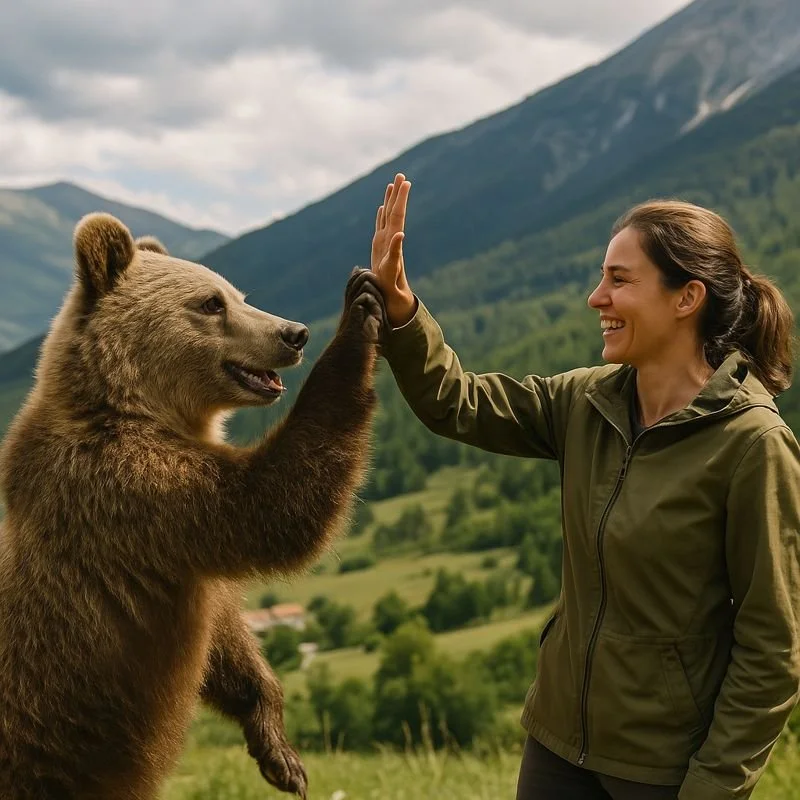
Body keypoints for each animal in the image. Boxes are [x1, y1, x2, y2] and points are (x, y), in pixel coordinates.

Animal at [0, 212, 386, 799]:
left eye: (240, 294)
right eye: (210, 302)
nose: (293, 333)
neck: (136, 409)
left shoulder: (178, 552)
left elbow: (222, 637)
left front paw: (281, 753)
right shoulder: (127, 489)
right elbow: (269, 508)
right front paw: (359, 313)